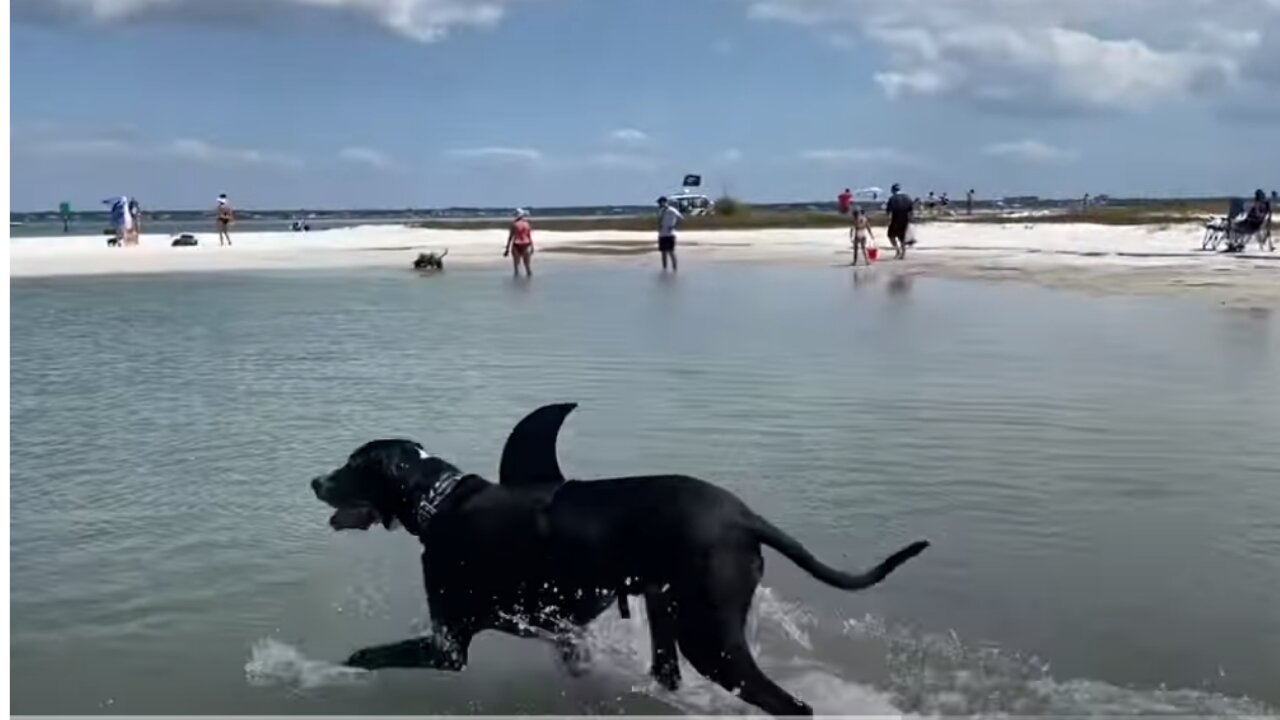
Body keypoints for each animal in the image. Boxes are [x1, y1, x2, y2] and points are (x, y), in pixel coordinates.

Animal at [312, 399, 931, 712]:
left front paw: (322, 673)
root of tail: (742, 516)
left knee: (789, 706)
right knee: (669, 673)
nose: (316, 481)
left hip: (710, 638)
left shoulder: (447, 646)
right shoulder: (561, 629)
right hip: (668, 607)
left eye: (352, 465)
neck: (441, 502)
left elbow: (364, 655)